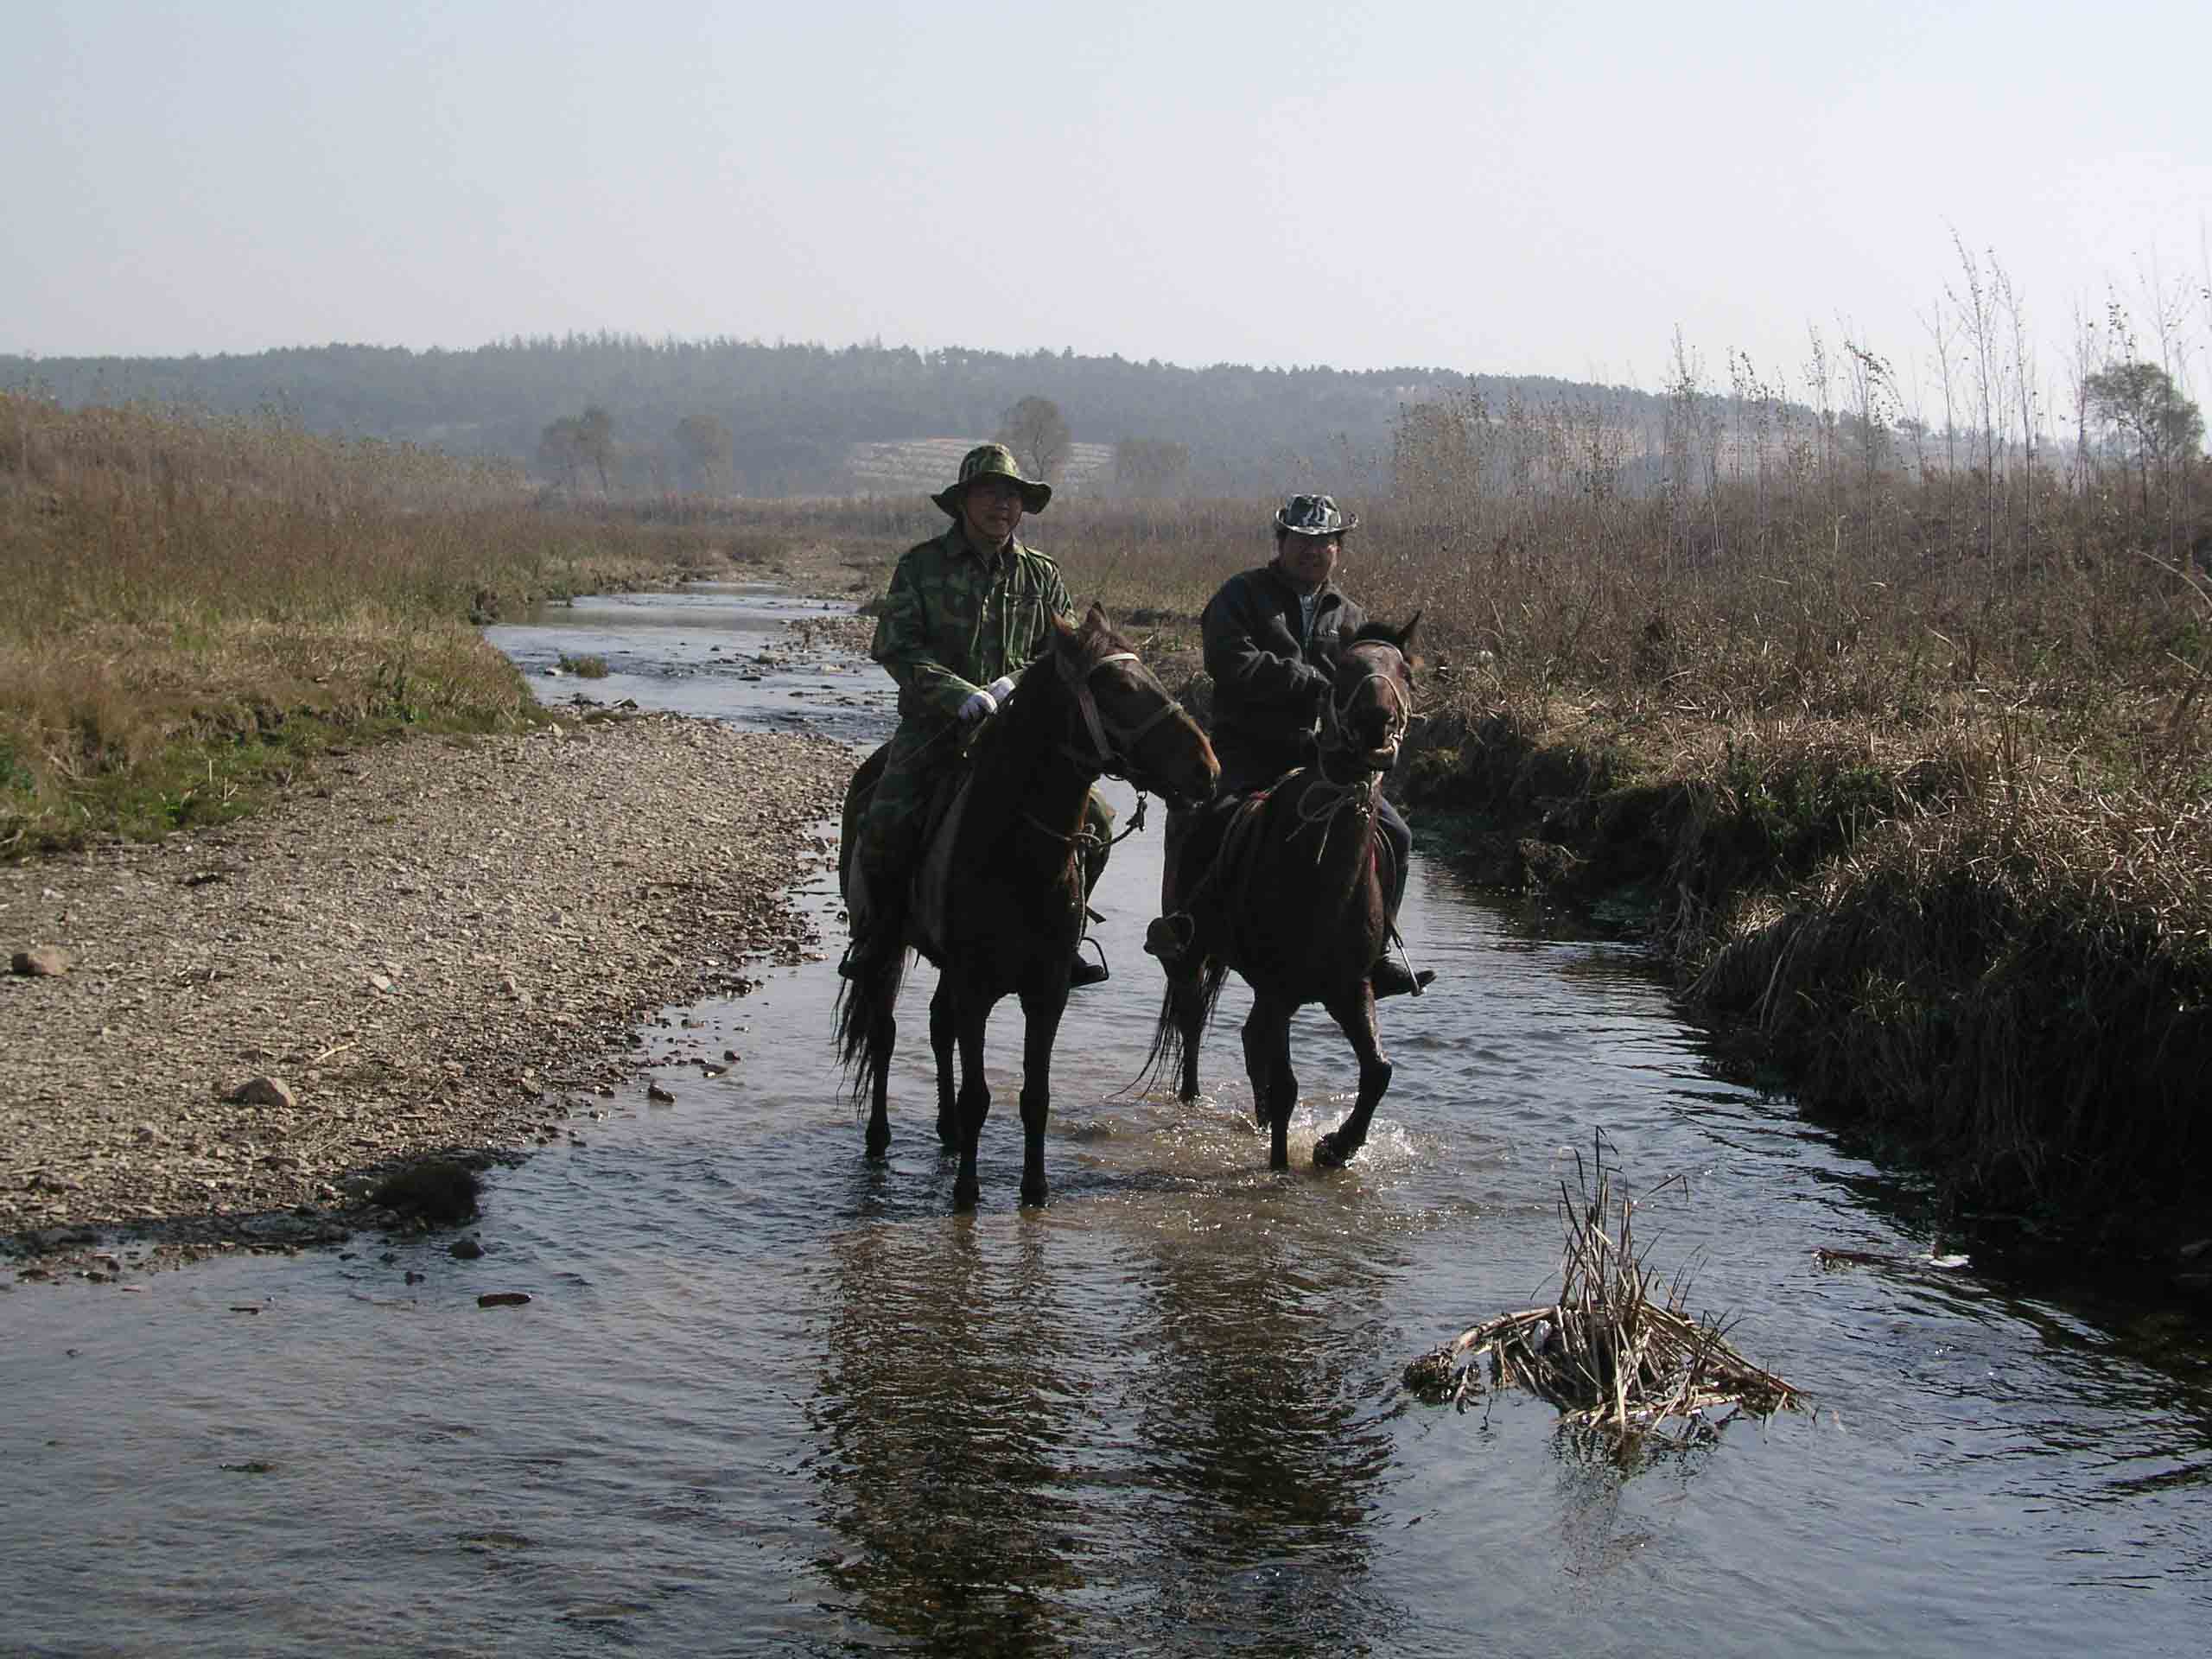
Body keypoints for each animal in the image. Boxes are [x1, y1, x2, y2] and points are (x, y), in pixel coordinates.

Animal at [831, 606, 1221, 1211]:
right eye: (1119, 687)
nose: (1207, 768)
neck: (1017, 849)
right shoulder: (975, 988)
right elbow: (978, 1094)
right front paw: (966, 1195)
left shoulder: (1047, 991)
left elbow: (1035, 1095)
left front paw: (1034, 1192)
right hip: (888, 944)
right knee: (884, 1030)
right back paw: (880, 1137)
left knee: (937, 1026)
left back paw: (946, 1132)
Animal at [1141, 619, 1415, 1176]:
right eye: (1343, 671)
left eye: (1406, 673)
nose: (1377, 725)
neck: (1322, 878)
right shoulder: (1278, 987)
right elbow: (1287, 1084)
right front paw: (1281, 1169)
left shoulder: (1349, 988)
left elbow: (1378, 1070)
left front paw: (1337, 1147)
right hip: (1191, 953)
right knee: (1192, 1022)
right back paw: (1191, 1099)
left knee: (1250, 1041)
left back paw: (1261, 1119)